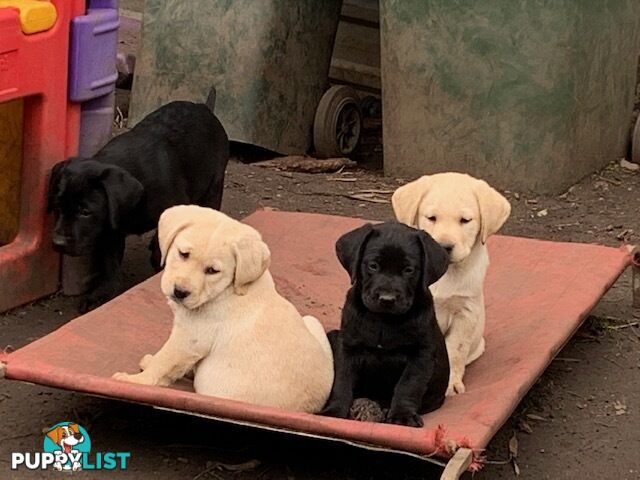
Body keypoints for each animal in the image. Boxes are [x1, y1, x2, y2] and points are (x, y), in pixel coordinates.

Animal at [47, 91, 229, 314]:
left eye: (85, 211)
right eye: (57, 206)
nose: (58, 243)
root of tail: (204, 107)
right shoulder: (111, 230)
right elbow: (110, 265)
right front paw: (103, 294)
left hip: (214, 186)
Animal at [114, 205, 336, 412]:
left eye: (213, 271)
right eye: (183, 254)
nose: (180, 292)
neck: (227, 289)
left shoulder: (188, 339)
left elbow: (163, 363)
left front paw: (133, 381)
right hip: (311, 320)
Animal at [320, 221, 450, 428]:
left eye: (408, 270)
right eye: (373, 266)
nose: (387, 299)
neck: (384, 320)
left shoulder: (421, 354)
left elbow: (408, 385)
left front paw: (402, 415)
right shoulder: (348, 347)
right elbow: (341, 381)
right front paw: (334, 411)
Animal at [390, 172, 510, 398]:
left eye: (465, 220)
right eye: (431, 218)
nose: (444, 247)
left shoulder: (465, 313)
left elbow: (454, 351)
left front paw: (450, 383)